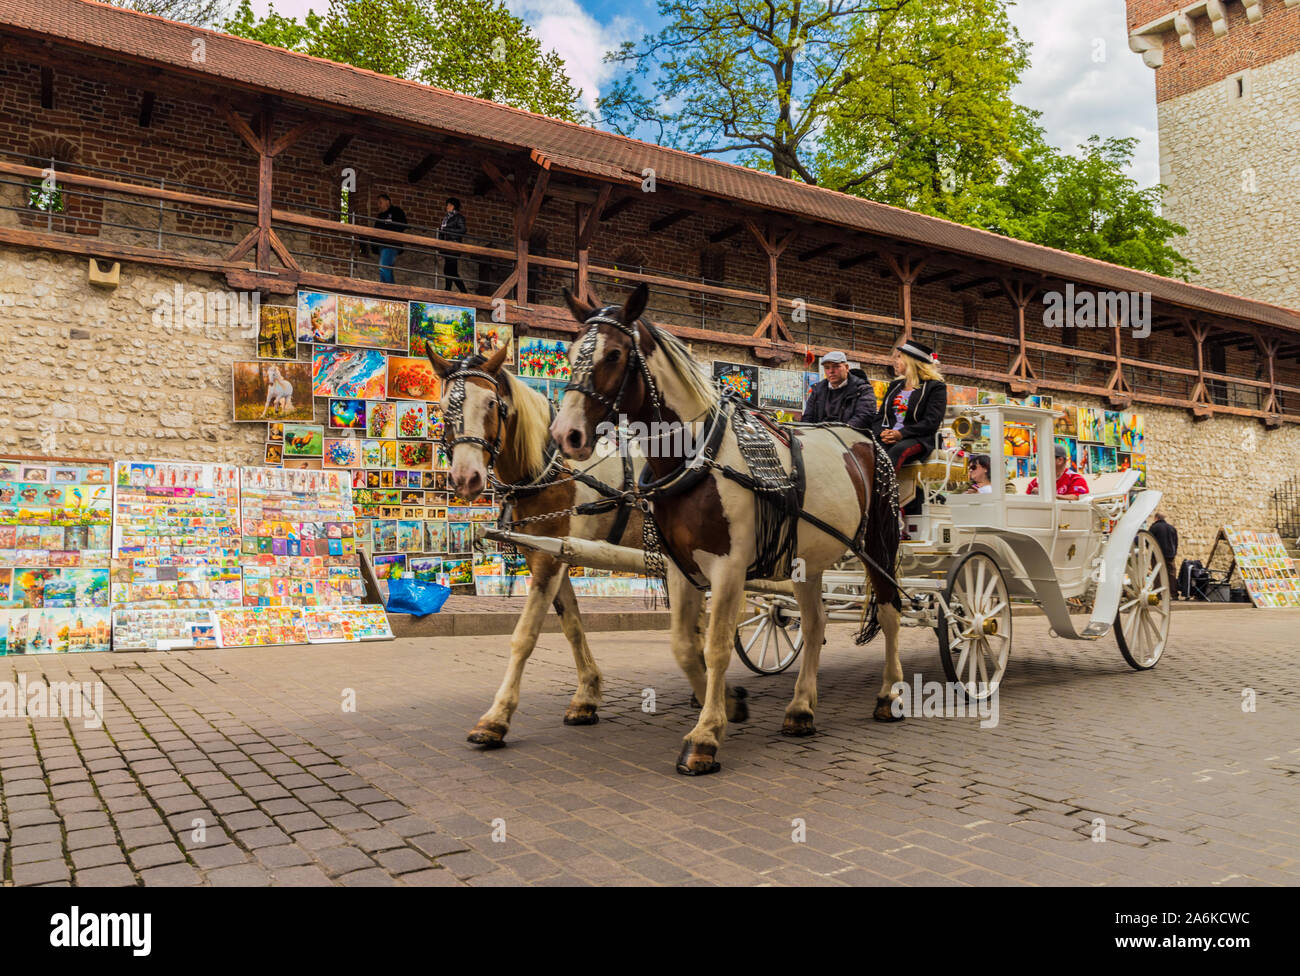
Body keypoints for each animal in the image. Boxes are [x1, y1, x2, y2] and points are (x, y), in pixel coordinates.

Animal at [548, 284, 904, 779]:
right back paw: (801, 708)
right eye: (569, 353)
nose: (566, 434)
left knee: (889, 612)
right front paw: (730, 706)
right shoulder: (680, 566)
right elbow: (684, 645)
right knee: (815, 623)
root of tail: (867, 440)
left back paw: (890, 695)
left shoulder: (730, 568)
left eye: (615, 354)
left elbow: (716, 647)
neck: (699, 455)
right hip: (806, 560)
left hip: (879, 544)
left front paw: (705, 737)